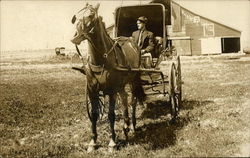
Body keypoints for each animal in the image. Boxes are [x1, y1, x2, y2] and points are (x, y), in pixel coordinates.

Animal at [70, 3, 146, 152]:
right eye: (76, 16)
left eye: (90, 15)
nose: (75, 37)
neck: (101, 60)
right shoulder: (92, 91)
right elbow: (94, 114)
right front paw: (93, 142)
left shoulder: (111, 91)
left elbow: (111, 115)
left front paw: (112, 142)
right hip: (121, 85)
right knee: (124, 98)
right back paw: (126, 125)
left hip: (133, 80)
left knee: (133, 101)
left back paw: (133, 126)